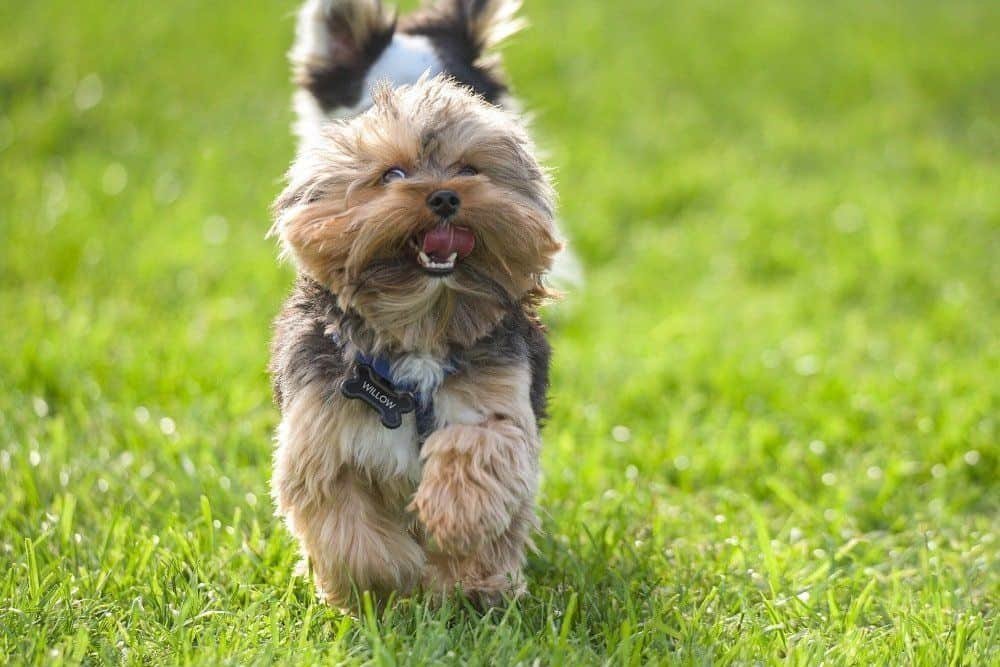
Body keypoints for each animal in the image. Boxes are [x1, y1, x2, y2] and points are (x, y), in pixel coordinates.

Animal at [270, 70, 560, 608]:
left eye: (469, 169)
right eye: (392, 175)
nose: (445, 196)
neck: (422, 331)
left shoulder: (499, 398)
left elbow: (479, 444)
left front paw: (455, 517)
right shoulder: (322, 433)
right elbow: (347, 530)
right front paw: (390, 576)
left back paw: (481, 587)